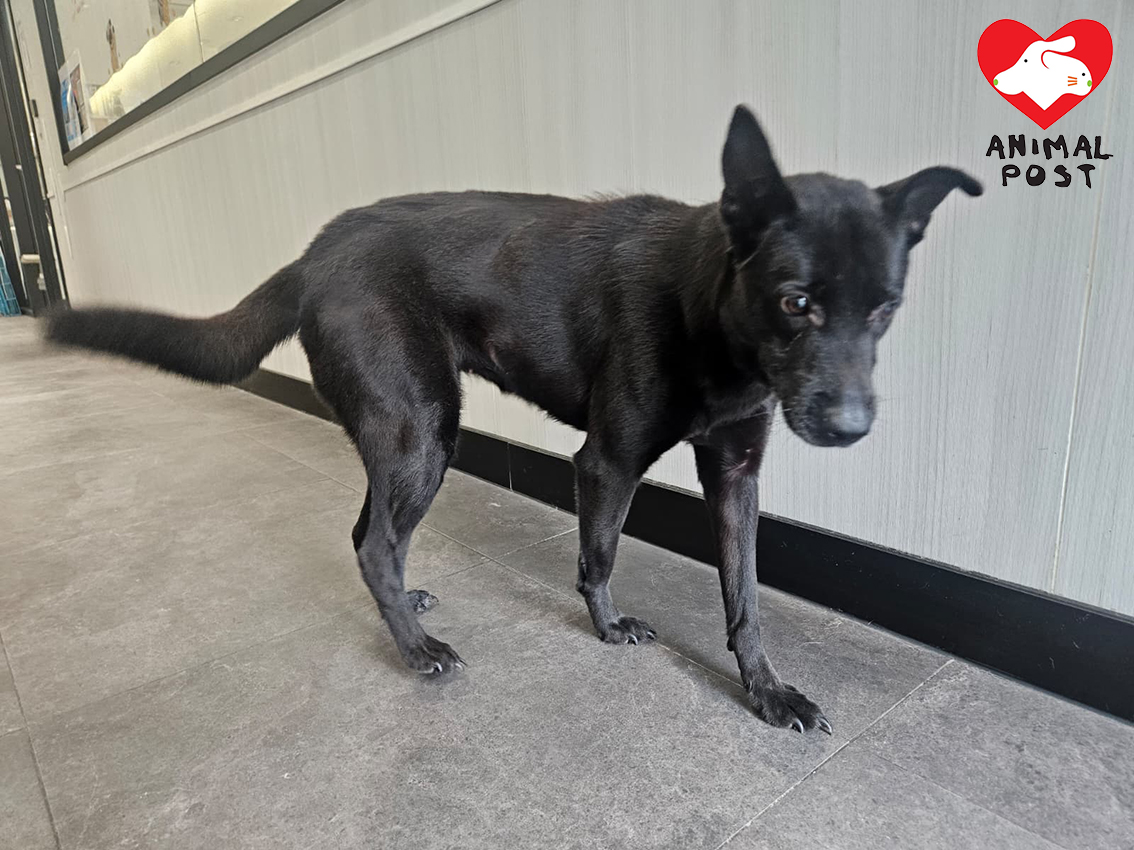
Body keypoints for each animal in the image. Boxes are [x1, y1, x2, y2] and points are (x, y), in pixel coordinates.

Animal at [46, 106, 981, 733]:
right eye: (796, 301)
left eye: (886, 307)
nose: (851, 426)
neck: (708, 314)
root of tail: (313, 254)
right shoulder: (604, 463)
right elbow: (600, 557)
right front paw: (606, 628)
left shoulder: (737, 475)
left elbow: (746, 597)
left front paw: (767, 691)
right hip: (423, 430)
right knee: (375, 543)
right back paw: (418, 649)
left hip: (403, 434)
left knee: (367, 535)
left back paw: (408, 610)